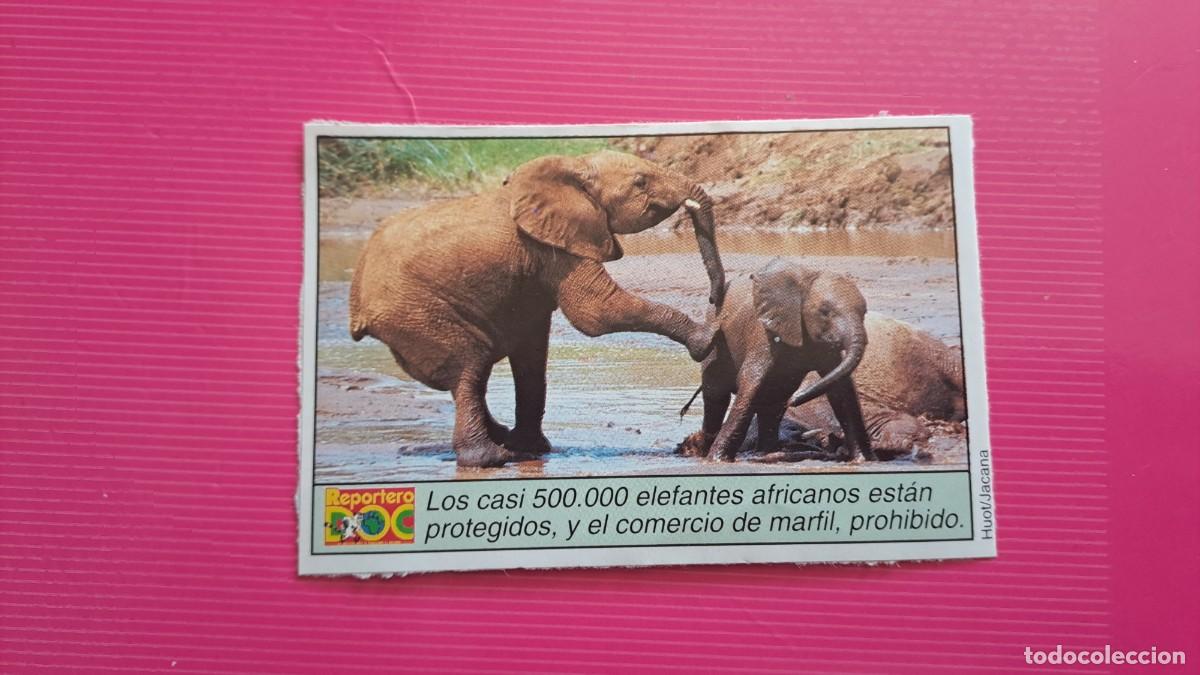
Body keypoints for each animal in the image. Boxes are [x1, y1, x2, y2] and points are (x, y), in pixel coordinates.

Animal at [349, 151, 725, 468]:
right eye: (640, 182)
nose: (715, 299)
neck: (574, 166)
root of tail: (357, 301)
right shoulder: (556, 246)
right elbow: (595, 312)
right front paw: (707, 339)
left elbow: (532, 351)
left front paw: (535, 448)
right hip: (413, 311)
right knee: (468, 368)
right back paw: (491, 458)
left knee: (470, 373)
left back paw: (508, 442)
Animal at [675, 259, 876, 462]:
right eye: (824, 312)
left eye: (864, 312)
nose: (794, 401)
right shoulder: (765, 333)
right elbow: (750, 381)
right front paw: (717, 461)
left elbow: (841, 388)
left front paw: (864, 460)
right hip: (715, 338)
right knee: (717, 395)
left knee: (773, 400)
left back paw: (766, 452)